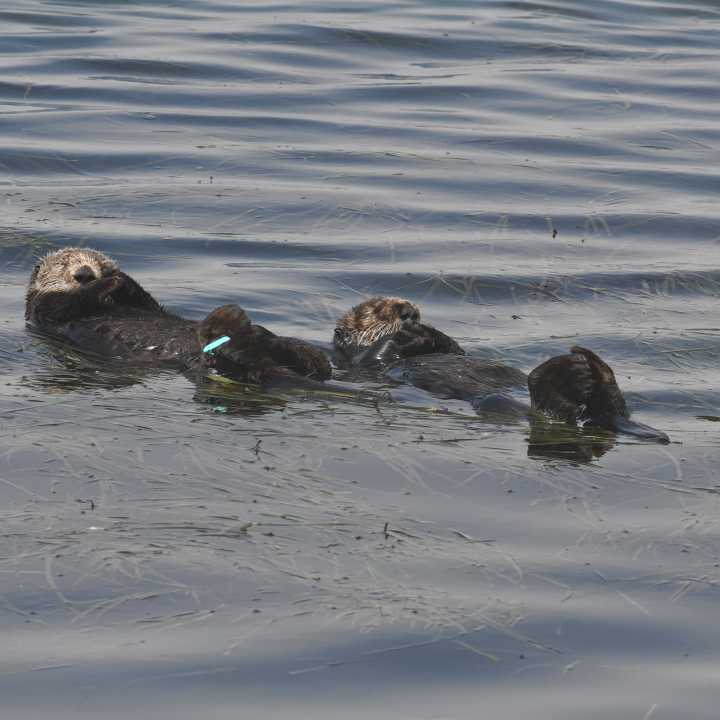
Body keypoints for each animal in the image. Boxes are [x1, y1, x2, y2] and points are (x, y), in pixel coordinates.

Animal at [25, 247, 330, 383]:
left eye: (98, 262)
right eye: (63, 264)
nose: (84, 273)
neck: (106, 305)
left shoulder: (146, 304)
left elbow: (147, 301)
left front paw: (120, 278)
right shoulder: (45, 310)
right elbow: (65, 304)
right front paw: (108, 283)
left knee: (309, 361)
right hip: (218, 362)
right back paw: (231, 324)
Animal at [334, 296, 670, 443]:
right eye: (376, 310)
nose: (409, 312)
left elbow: (455, 349)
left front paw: (431, 333)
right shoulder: (362, 362)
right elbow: (376, 354)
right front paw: (407, 334)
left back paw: (588, 371)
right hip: (498, 403)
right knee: (552, 410)